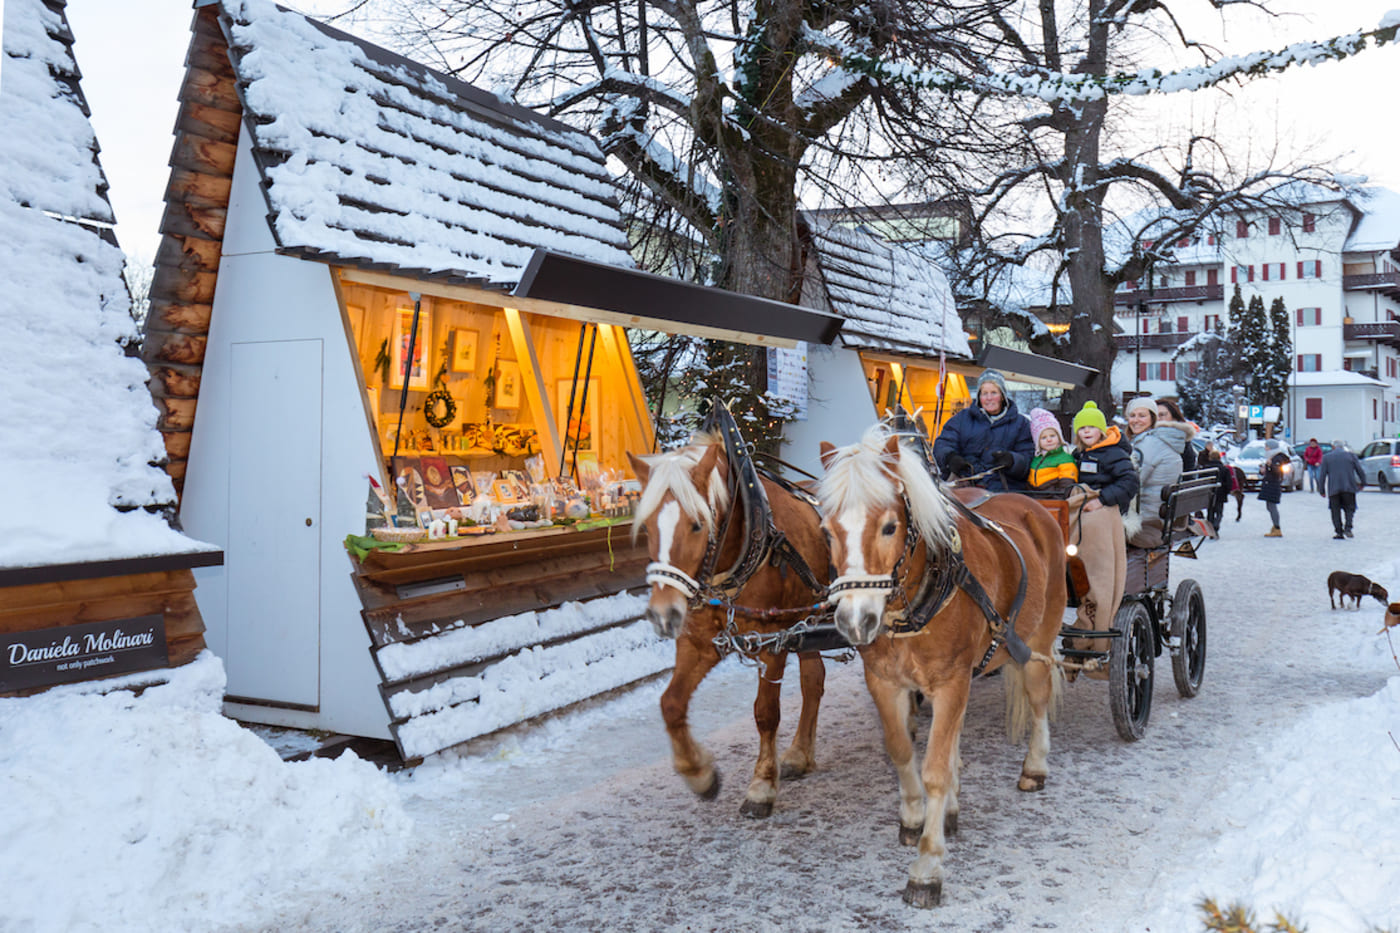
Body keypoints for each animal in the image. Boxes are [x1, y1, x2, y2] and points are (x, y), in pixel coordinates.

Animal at [627, 437, 828, 812]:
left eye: (697, 524)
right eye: (646, 526)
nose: (663, 613)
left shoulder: (773, 641)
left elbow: (766, 712)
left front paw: (762, 785)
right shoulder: (699, 641)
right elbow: (671, 704)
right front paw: (698, 773)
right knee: (813, 681)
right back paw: (798, 754)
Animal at [817, 425, 1064, 902]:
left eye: (890, 526)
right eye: (827, 532)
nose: (855, 620)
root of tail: (1032, 507)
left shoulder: (951, 681)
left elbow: (933, 769)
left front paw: (927, 865)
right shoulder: (884, 682)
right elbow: (901, 750)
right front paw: (916, 816)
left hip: (1038, 641)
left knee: (1040, 699)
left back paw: (1035, 767)